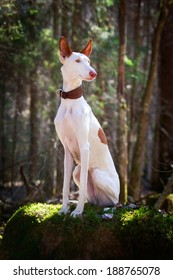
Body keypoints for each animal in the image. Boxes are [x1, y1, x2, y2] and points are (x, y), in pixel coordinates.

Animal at [54, 36, 119, 217]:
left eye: (89, 61)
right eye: (77, 60)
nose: (93, 73)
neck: (70, 101)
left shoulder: (84, 147)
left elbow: (81, 187)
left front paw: (78, 211)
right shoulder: (67, 151)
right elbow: (64, 187)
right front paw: (64, 208)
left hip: (96, 174)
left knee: (114, 201)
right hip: (77, 170)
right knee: (94, 198)